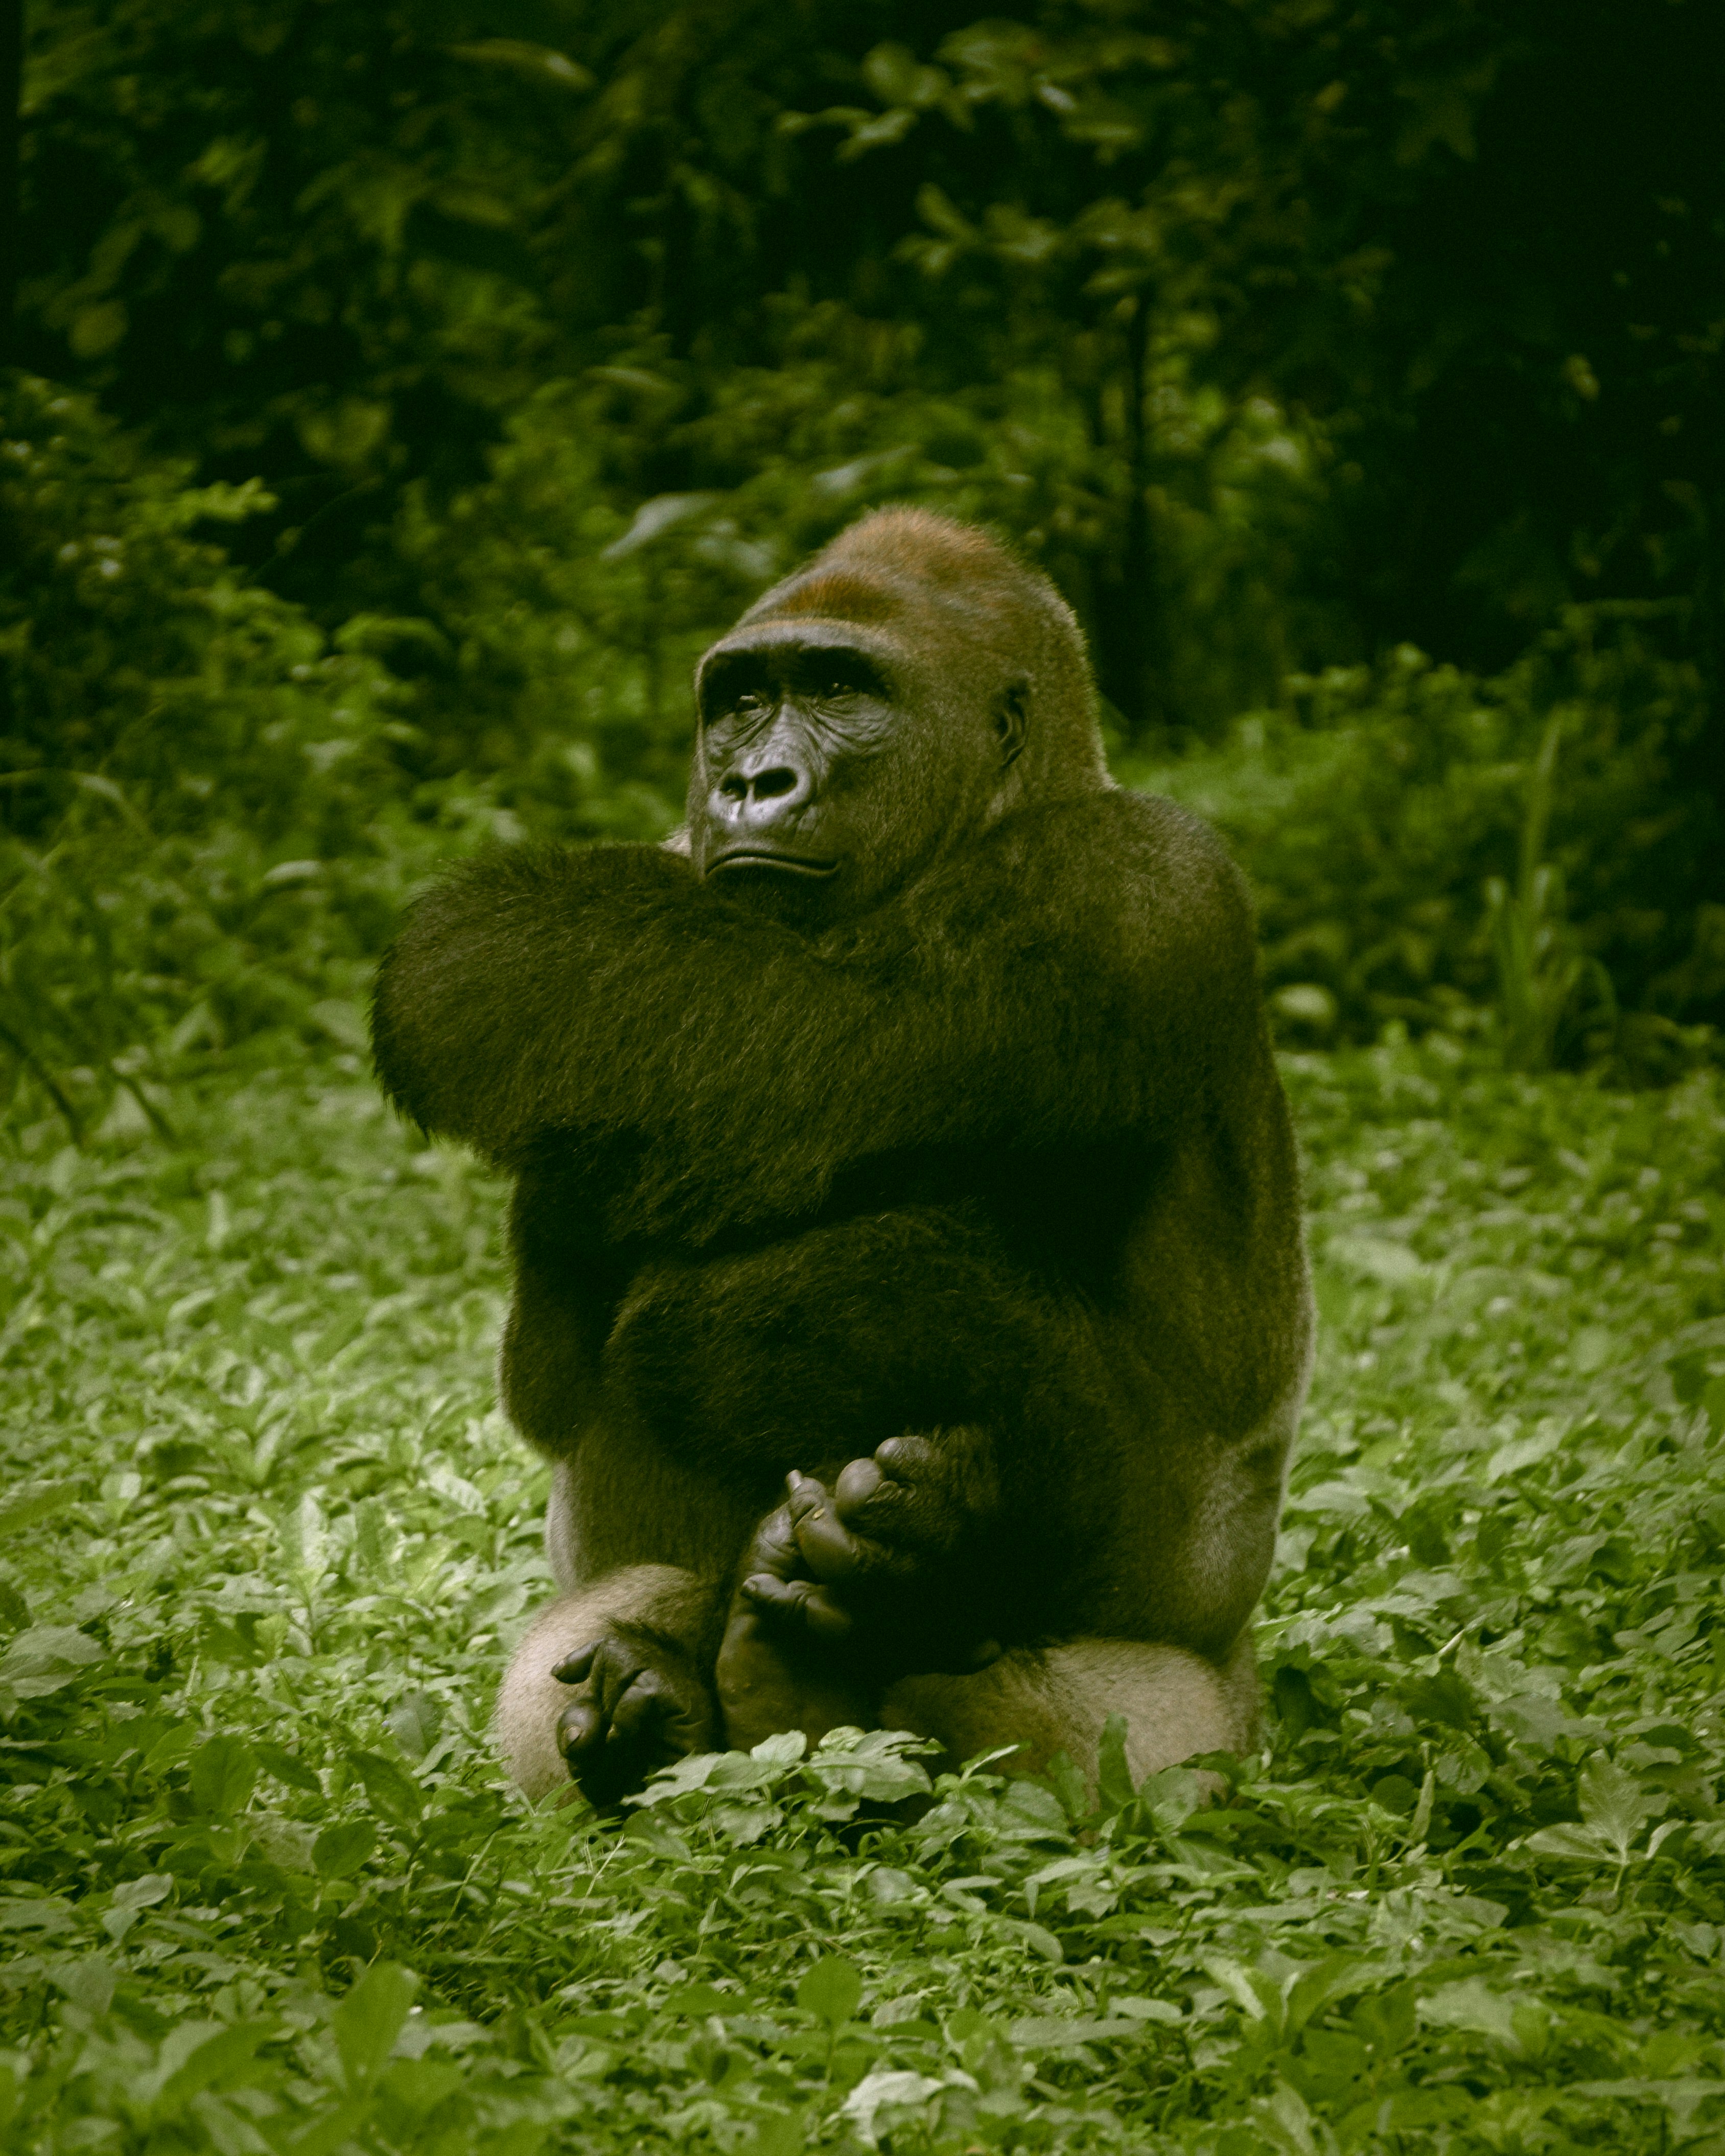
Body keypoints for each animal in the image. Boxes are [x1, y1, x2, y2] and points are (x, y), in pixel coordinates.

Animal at [366, 513, 1311, 1811]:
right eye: (742, 700)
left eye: (837, 690)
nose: (752, 782)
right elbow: (547, 1370)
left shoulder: (1141, 878)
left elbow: (824, 1034)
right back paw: (681, 1690)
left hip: (1192, 1738)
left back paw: (906, 1579)